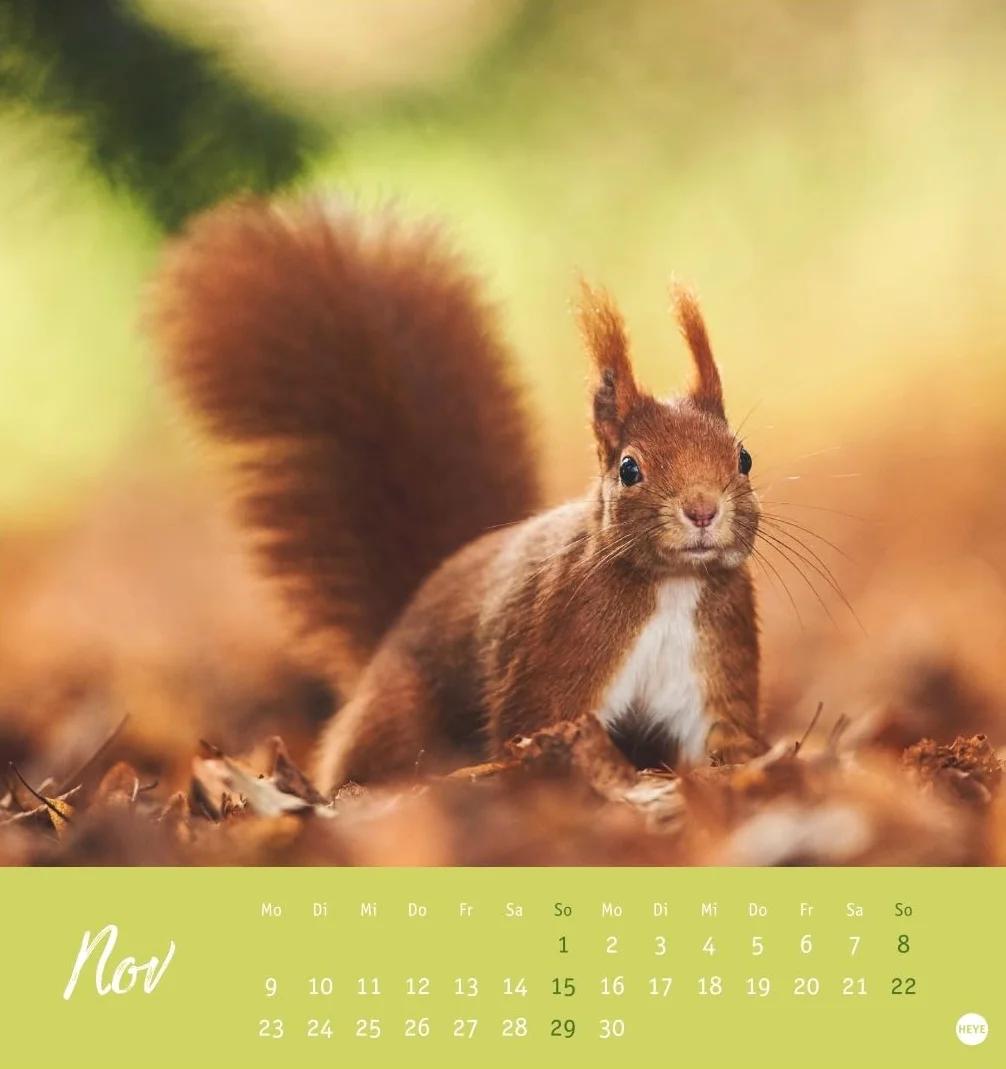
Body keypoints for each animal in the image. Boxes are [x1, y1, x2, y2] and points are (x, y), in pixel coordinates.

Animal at [151, 196, 766, 795]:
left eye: (743, 458)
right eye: (629, 468)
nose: (703, 509)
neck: (671, 587)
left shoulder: (715, 667)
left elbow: (720, 744)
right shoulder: (557, 651)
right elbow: (537, 727)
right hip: (399, 713)